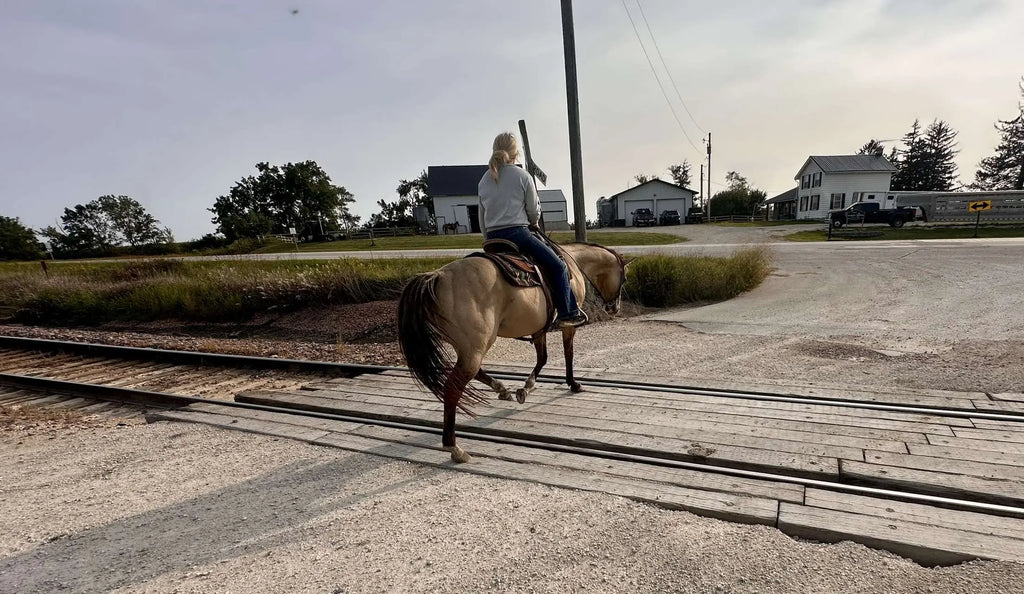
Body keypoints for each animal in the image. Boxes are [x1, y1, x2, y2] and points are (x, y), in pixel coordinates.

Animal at [397, 241, 630, 463]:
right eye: (624, 278)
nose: (614, 308)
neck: (572, 261)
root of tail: (437, 276)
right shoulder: (568, 325)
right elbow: (568, 353)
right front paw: (572, 384)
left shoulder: (539, 328)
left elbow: (543, 358)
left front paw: (525, 388)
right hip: (476, 347)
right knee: (453, 388)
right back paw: (454, 448)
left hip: (468, 347)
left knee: (475, 372)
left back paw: (502, 389)